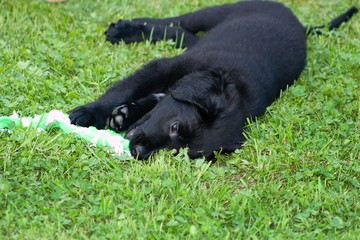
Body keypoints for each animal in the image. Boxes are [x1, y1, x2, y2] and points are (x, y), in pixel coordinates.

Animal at [69, 1, 356, 160]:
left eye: (178, 151)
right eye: (175, 127)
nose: (137, 152)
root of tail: (301, 24)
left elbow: (151, 99)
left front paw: (124, 114)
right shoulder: (164, 67)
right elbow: (123, 89)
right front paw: (88, 113)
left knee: (179, 32)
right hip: (216, 13)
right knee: (178, 21)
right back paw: (124, 28)